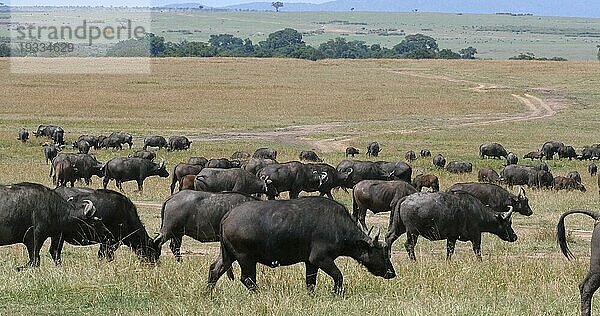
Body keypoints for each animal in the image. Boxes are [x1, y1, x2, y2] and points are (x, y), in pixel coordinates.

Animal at [209, 198, 396, 294]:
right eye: (383, 253)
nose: (391, 273)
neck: (337, 224)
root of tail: (228, 215)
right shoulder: (321, 259)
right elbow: (338, 276)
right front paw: (336, 293)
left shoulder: (310, 263)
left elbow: (310, 282)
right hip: (246, 258)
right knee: (247, 279)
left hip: (229, 256)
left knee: (215, 269)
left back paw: (208, 293)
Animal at [386, 193, 516, 262]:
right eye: (508, 223)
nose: (515, 237)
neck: (478, 212)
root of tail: (405, 198)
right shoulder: (476, 236)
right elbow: (477, 250)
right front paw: (481, 262)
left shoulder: (452, 237)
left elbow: (450, 251)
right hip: (412, 232)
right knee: (408, 245)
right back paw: (414, 261)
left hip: (399, 227)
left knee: (389, 238)